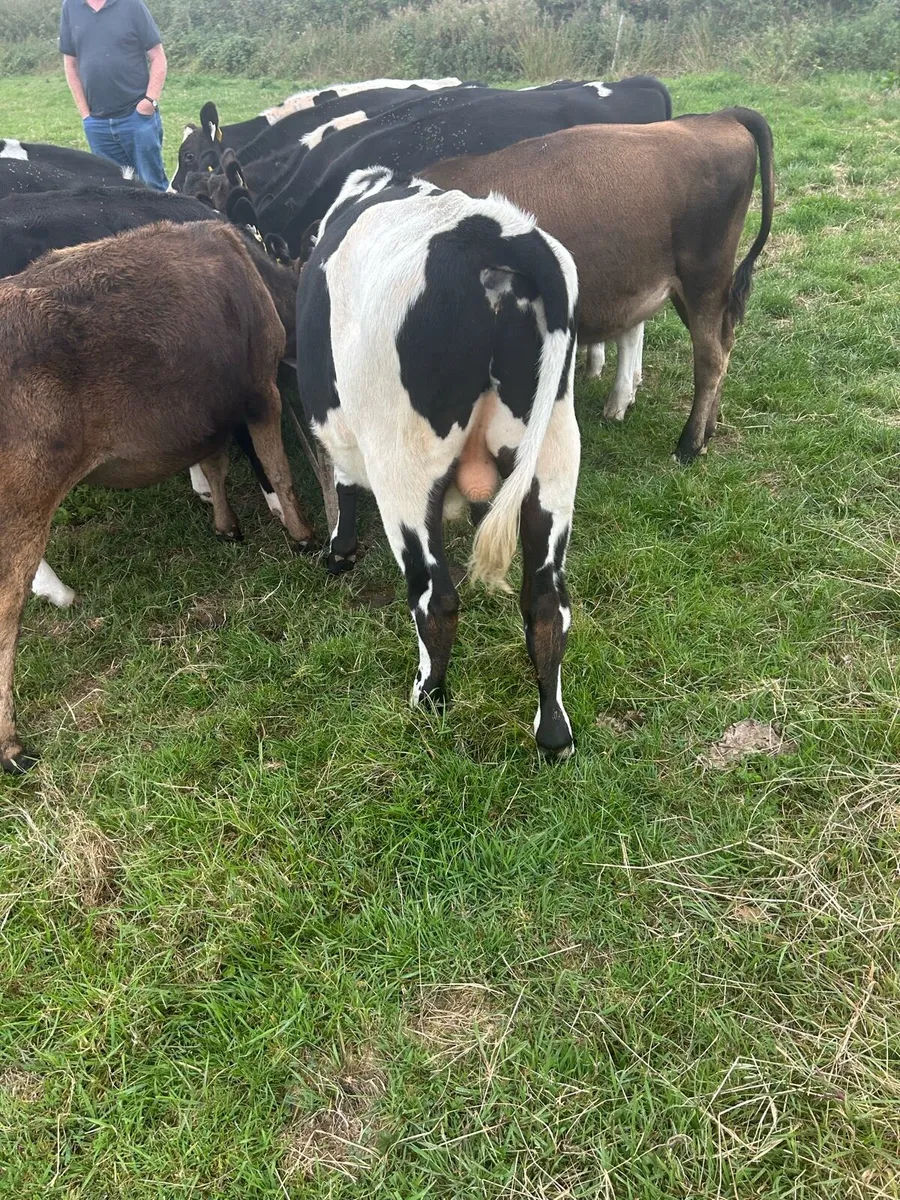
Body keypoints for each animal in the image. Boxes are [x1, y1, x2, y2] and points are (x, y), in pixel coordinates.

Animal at [0, 220, 314, 774]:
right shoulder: (260, 388)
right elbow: (278, 469)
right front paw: (301, 534)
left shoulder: (206, 410)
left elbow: (215, 464)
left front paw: (227, 524)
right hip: (24, 492)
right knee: (6, 605)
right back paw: (11, 742)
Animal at [295, 167, 580, 760]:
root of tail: (500, 233)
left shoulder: (342, 432)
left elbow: (342, 484)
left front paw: (338, 551)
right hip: (552, 455)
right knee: (547, 605)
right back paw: (553, 735)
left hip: (404, 464)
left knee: (435, 599)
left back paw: (428, 698)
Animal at [422, 107, 774, 460]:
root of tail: (719, 116)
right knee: (725, 344)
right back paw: (707, 431)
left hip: (704, 280)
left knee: (710, 359)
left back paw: (688, 445)